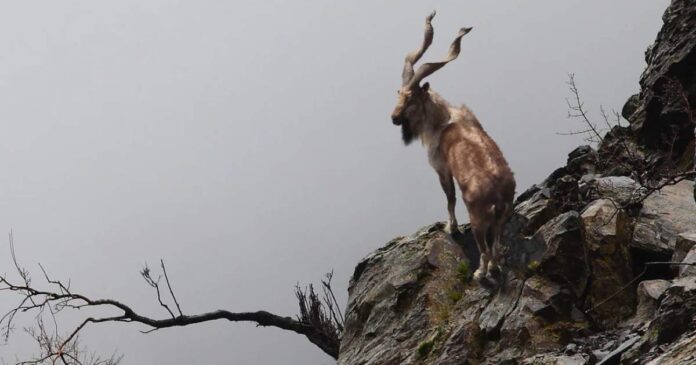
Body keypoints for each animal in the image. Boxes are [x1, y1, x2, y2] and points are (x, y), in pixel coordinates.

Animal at [392, 12, 516, 282]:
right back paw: (494, 268)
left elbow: (449, 199)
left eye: (411, 98)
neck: (443, 120)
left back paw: (480, 273)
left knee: (485, 249)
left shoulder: (442, 169)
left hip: (479, 217)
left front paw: (451, 227)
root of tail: (499, 193)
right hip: (501, 219)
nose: (394, 118)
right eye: (398, 93)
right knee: (496, 246)